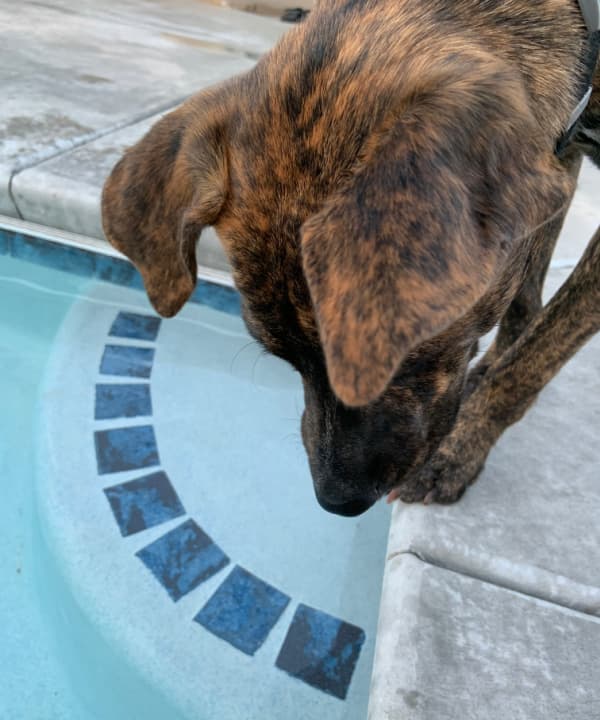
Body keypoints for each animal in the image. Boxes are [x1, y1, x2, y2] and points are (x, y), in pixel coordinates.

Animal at [101, 0, 600, 516]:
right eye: (284, 357)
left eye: (407, 354)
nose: (337, 501)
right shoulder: (559, 157)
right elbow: (524, 294)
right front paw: (496, 360)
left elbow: (527, 365)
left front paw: (458, 451)